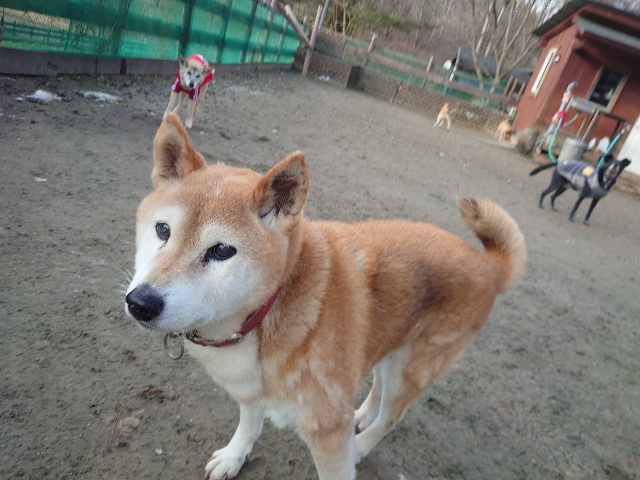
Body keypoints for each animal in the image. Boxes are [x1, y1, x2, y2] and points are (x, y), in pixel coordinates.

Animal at [125, 113, 527, 480]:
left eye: (222, 250)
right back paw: (361, 415)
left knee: (392, 417)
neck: (265, 315)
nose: (141, 303)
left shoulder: (327, 431)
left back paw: (361, 445)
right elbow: (249, 424)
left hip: (411, 367)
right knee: (377, 387)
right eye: (163, 230)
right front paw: (234, 457)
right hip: (389, 341)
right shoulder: (252, 391)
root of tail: (489, 264)